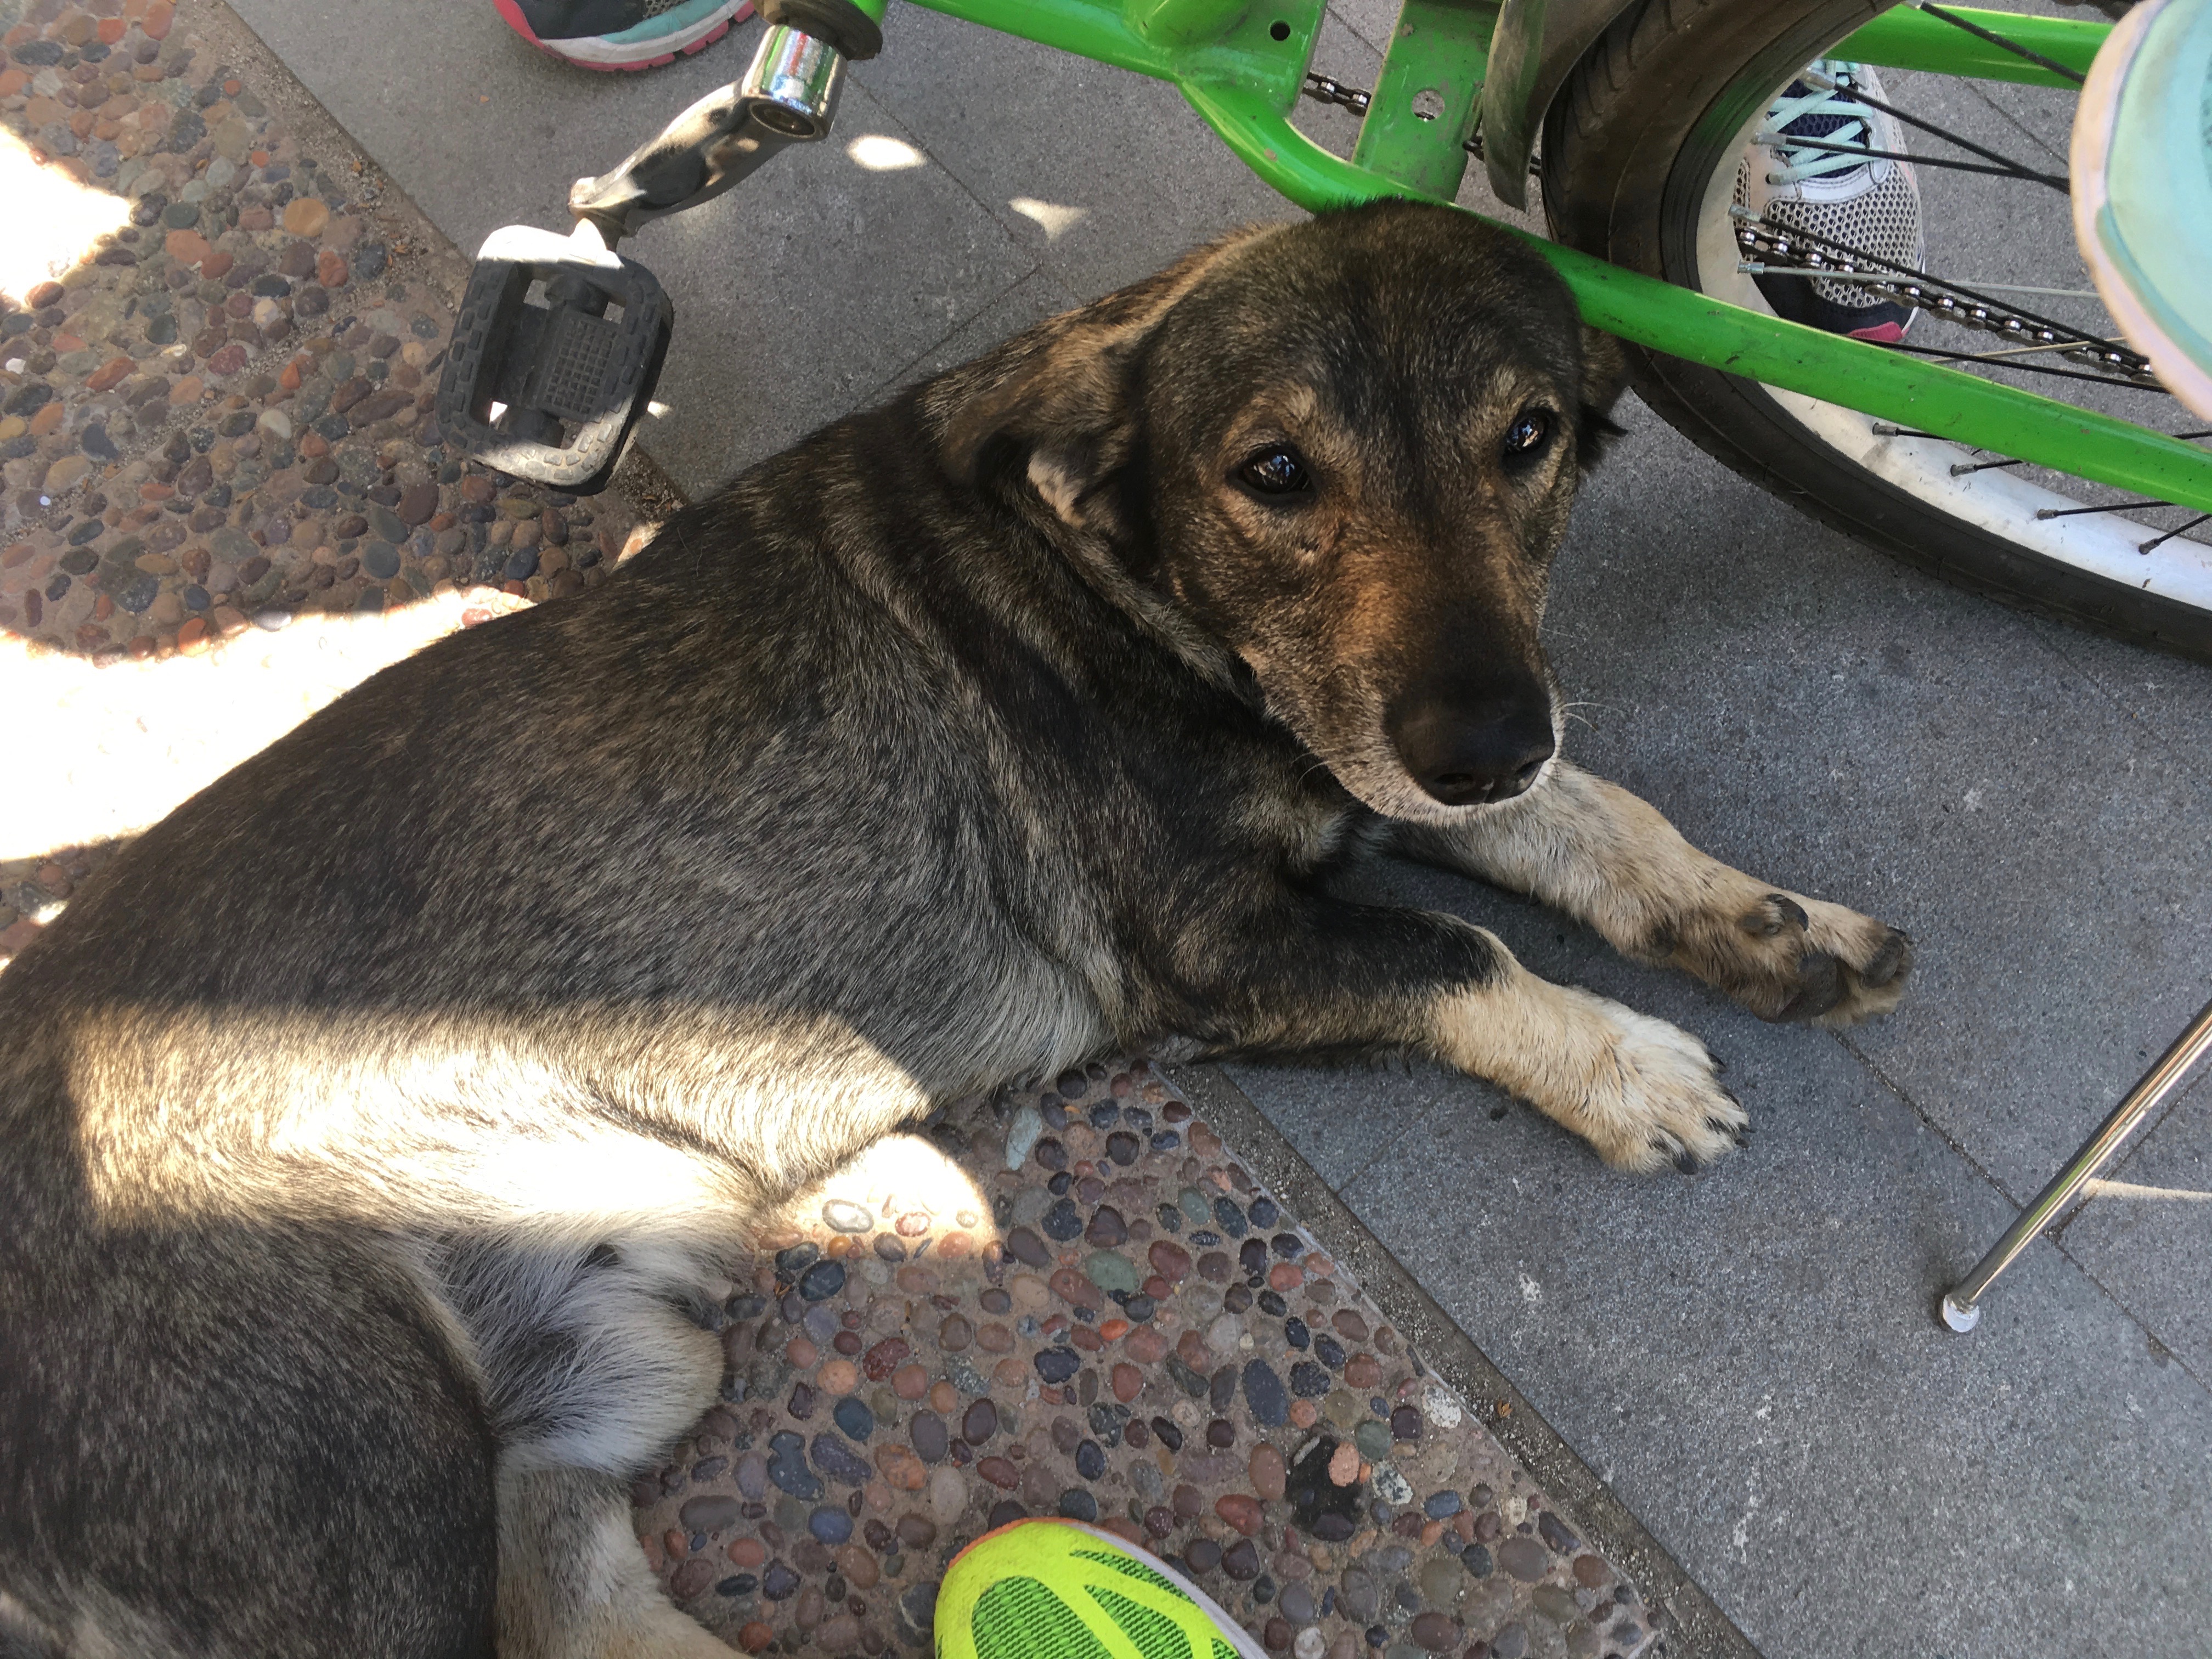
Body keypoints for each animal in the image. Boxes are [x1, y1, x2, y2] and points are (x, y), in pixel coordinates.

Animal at [0, 199, 1909, 1658]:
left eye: (1529, 437)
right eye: (1275, 471)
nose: (1487, 739)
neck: (1120, 574)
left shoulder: (1409, 759)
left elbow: (1597, 823)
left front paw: (1760, 920)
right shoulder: (1220, 944)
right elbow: (1468, 954)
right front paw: (1629, 1070)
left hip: (607, 1382)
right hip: (367, 1499)